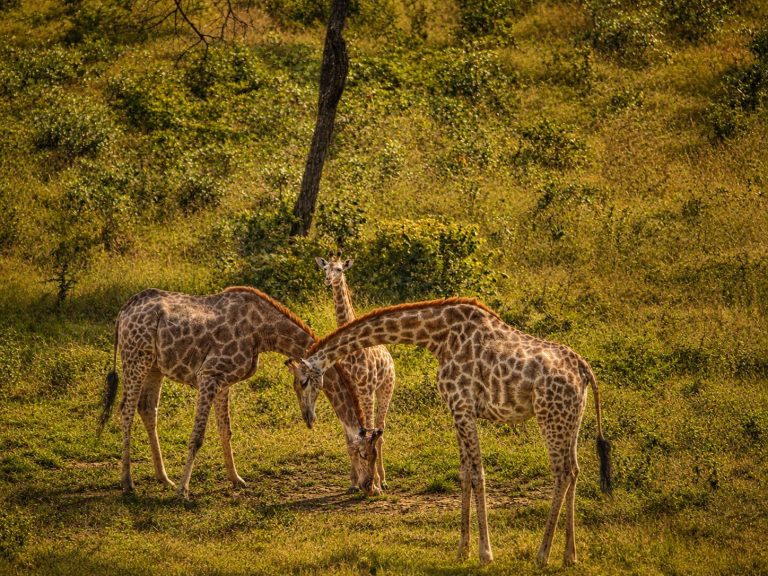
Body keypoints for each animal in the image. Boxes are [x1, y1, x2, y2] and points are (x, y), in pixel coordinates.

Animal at [98, 286, 380, 499]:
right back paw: (128, 483)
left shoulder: (223, 381)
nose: (368, 487)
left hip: (155, 366)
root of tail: (123, 312)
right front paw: (183, 491)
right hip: (136, 358)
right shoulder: (209, 374)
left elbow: (226, 430)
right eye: (362, 453)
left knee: (147, 409)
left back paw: (163, 478)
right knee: (126, 411)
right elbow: (197, 436)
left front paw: (236, 479)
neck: (262, 332)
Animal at [295, 297, 612, 567]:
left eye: (302, 382)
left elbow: (478, 474)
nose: (307, 417)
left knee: (561, 472)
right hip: (570, 418)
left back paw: (542, 555)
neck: (438, 337)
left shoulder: (462, 406)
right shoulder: (457, 410)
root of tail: (585, 370)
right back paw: (570, 556)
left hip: (550, 415)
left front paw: (485, 554)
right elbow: (464, 475)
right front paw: (462, 550)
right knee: (574, 469)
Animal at [314, 256, 396, 493]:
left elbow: (370, 435)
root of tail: (389, 357)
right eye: (324, 268)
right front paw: (353, 482)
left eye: (340, 269)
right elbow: (350, 441)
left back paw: (383, 480)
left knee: (380, 431)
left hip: (385, 389)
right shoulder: (348, 392)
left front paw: (373, 483)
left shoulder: (366, 392)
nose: (328, 280)